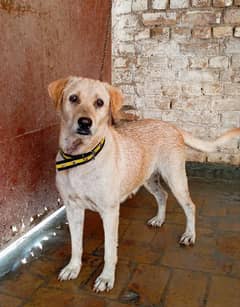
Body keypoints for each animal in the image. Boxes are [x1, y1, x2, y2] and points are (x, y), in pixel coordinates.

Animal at [47, 77, 240, 294]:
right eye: (73, 98)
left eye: (99, 103)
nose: (85, 123)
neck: (80, 157)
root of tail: (171, 125)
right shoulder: (73, 209)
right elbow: (76, 244)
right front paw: (73, 268)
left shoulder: (109, 212)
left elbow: (109, 251)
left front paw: (106, 278)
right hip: (149, 179)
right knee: (163, 195)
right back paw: (159, 219)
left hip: (175, 178)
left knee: (190, 206)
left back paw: (189, 235)